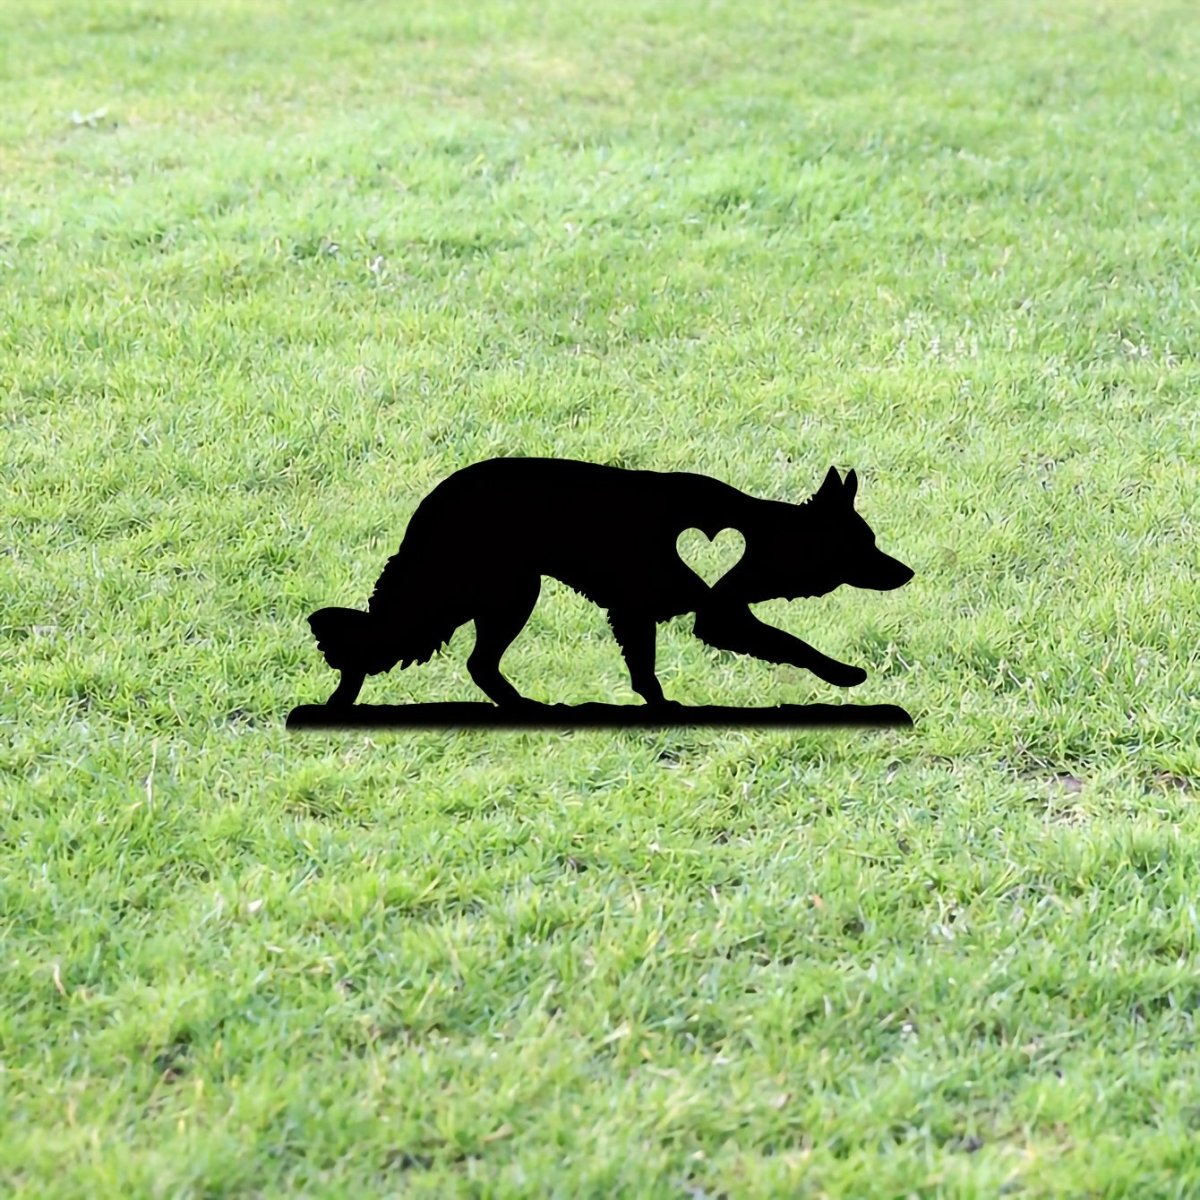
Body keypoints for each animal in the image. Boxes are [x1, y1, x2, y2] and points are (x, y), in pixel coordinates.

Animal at [306, 457, 914, 708]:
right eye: (865, 543)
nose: (909, 572)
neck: (760, 535)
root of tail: (432, 502)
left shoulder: (648, 615)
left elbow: (646, 672)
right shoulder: (709, 618)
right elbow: (791, 643)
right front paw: (843, 674)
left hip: (495, 594)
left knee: (465, 659)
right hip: (503, 593)